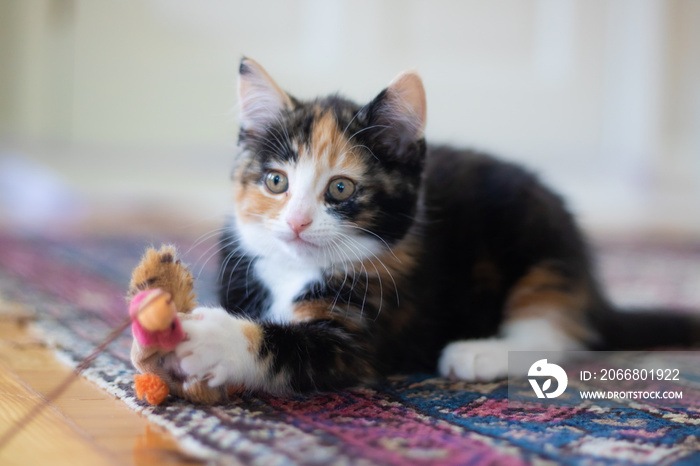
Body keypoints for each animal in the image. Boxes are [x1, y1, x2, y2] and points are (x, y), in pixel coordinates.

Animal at [174, 57, 696, 394]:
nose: (298, 222)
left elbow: (288, 347)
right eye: (276, 181)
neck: (293, 269)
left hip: (541, 241)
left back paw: (480, 354)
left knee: (558, 333)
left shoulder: (365, 330)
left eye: (340, 189)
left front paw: (209, 340)